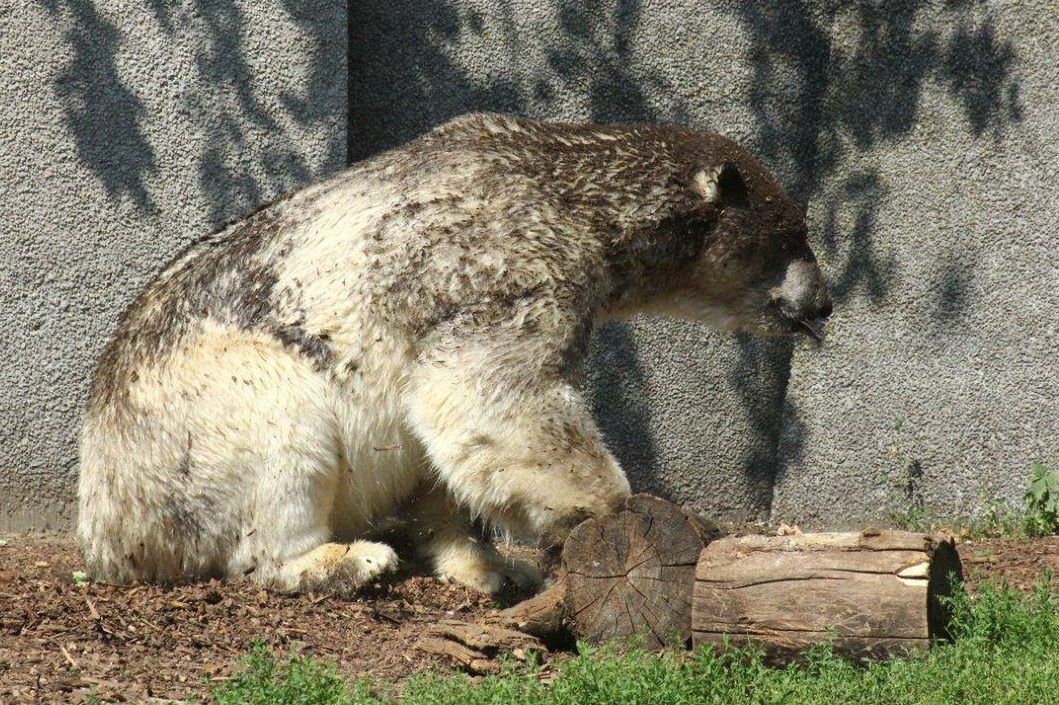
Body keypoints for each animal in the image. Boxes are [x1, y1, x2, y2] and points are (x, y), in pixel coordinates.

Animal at [78, 112, 830, 588]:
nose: (822, 305)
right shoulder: (513, 265)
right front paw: (608, 506)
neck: (570, 189)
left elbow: (443, 444)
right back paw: (345, 560)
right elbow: (492, 391)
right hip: (192, 411)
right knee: (277, 435)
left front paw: (492, 561)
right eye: (792, 236)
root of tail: (105, 532)